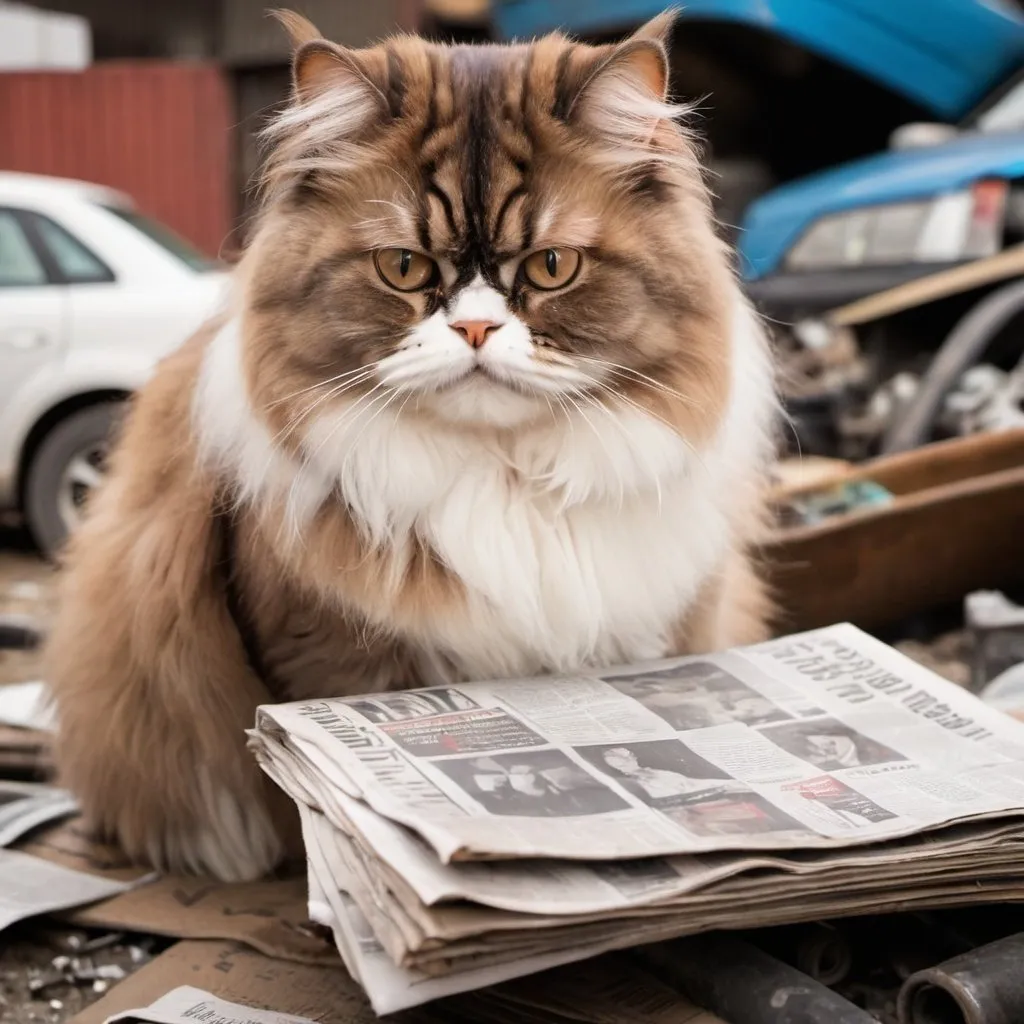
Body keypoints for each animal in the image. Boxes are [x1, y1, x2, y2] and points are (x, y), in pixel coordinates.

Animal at [41, 8, 774, 880]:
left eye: (551, 266)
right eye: (402, 267)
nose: (477, 329)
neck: (503, 478)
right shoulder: (320, 660)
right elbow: (308, 809)